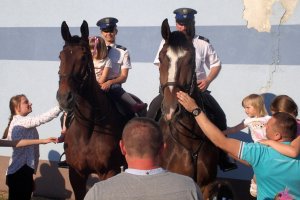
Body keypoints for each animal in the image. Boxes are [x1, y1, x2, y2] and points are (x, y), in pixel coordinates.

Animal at [56, 20, 138, 200]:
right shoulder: (76, 174)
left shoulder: (109, 172)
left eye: (84, 56)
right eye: (60, 56)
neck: (89, 127)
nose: (64, 97)